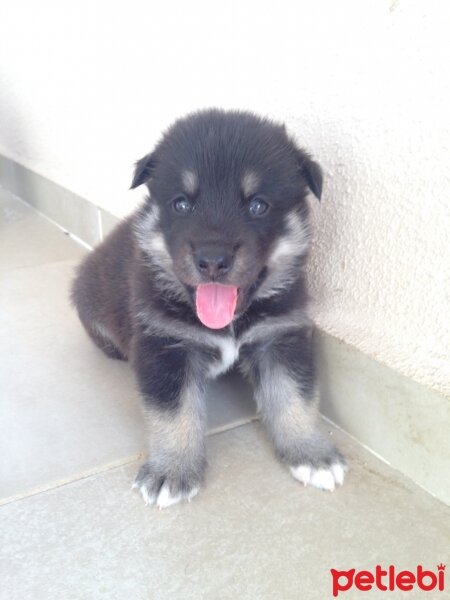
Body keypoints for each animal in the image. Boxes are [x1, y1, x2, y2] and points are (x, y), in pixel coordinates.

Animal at [70, 108, 346, 506]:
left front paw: (311, 453)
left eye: (258, 205)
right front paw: (171, 471)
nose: (212, 259)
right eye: (182, 203)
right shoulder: (165, 346)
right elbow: (175, 413)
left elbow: (295, 397)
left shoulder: (280, 338)